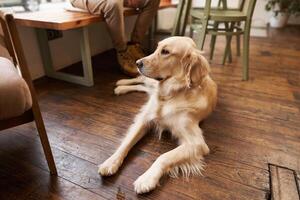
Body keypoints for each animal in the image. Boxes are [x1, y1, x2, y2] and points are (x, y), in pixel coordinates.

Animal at [98, 36, 218, 194]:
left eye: (165, 52)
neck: (170, 95)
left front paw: (147, 179)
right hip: (149, 82)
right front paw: (111, 162)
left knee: (142, 86)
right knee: (140, 80)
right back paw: (121, 83)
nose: (137, 63)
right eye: (157, 48)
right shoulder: (144, 120)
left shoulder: (197, 143)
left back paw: (120, 87)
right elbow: (126, 143)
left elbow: (164, 157)